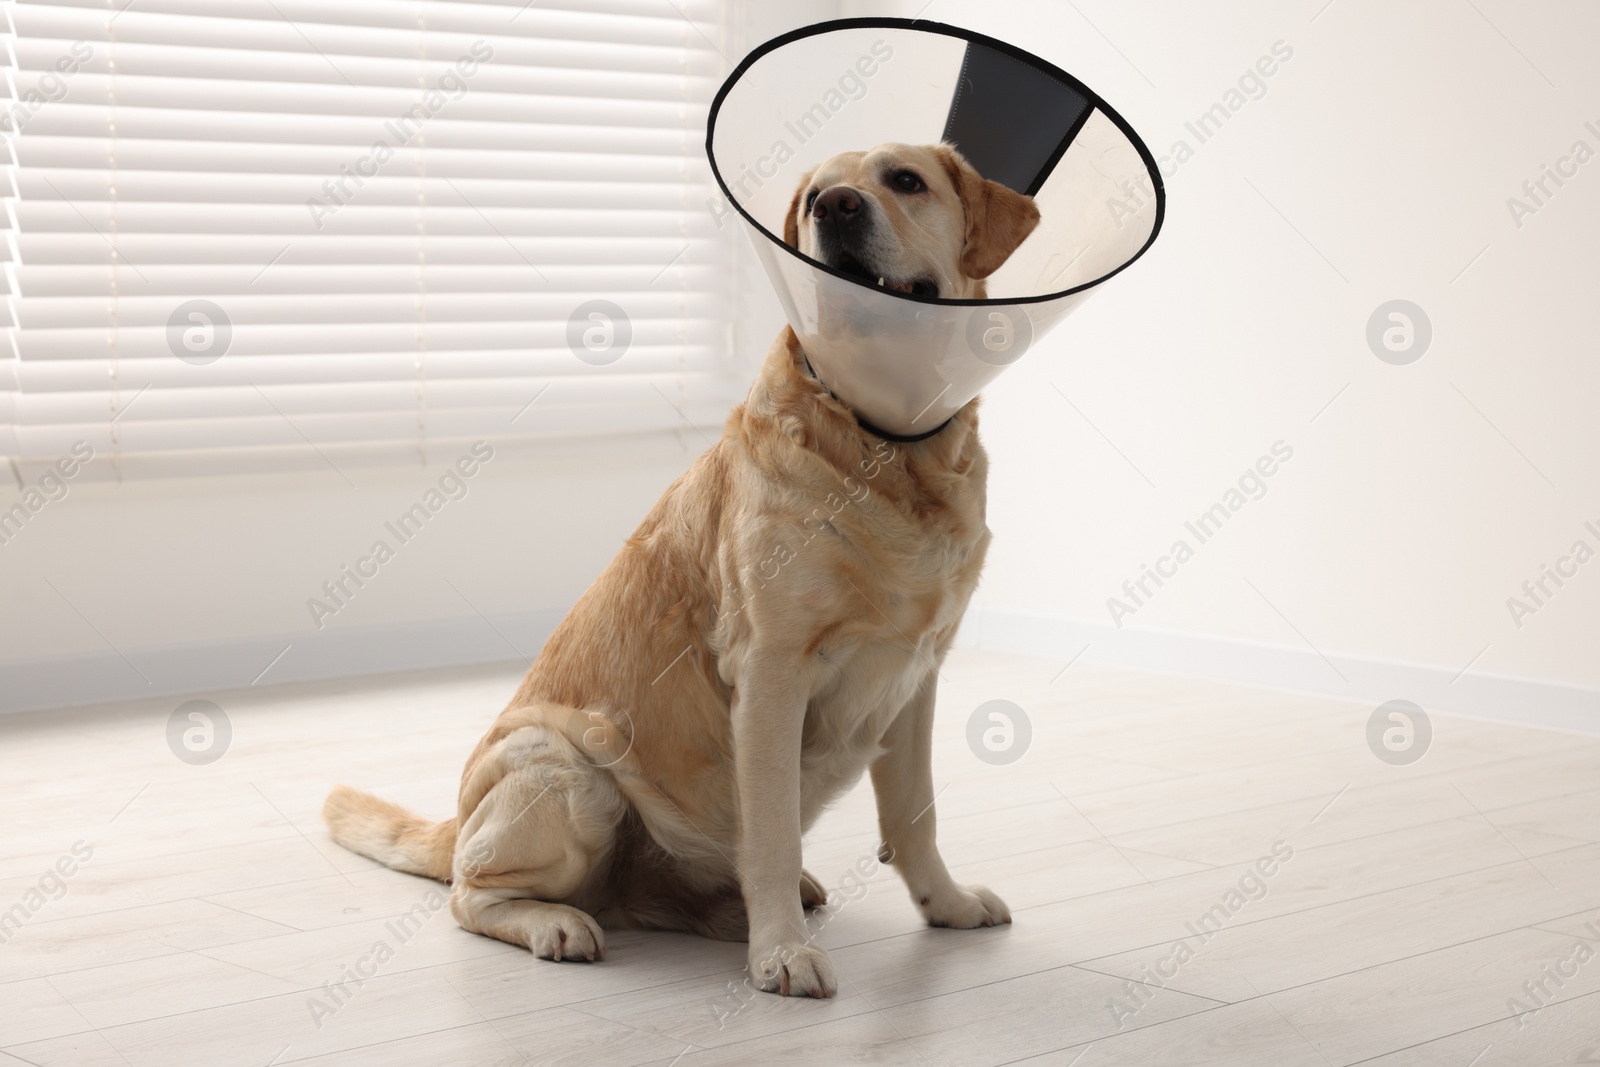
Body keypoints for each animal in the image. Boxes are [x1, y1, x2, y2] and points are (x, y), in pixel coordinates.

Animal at [323, 137, 1043, 998]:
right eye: (815, 198)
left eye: (906, 180)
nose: (835, 207)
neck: (887, 444)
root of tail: (459, 820)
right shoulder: (770, 672)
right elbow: (772, 833)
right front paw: (782, 952)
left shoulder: (916, 674)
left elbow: (915, 813)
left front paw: (948, 903)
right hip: (571, 771)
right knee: (471, 892)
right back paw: (560, 921)